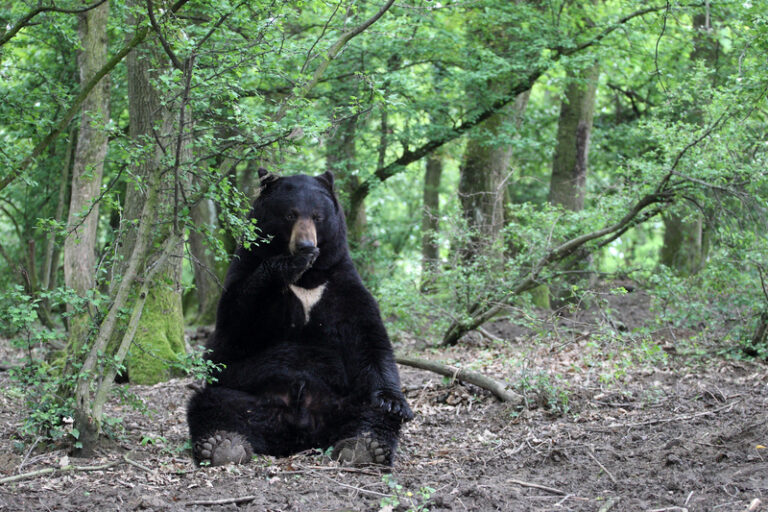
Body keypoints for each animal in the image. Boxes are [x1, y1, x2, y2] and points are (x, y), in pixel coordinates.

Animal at [186, 169, 413, 466]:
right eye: (290, 214)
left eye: (318, 216)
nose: (306, 245)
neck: (308, 279)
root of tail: (298, 431)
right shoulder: (243, 269)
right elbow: (233, 330)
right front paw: (287, 265)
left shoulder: (341, 284)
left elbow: (370, 339)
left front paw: (392, 400)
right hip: (246, 399)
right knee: (210, 403)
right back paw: (222, 443)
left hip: (344, 402)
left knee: (371, 410)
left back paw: (365, 445)